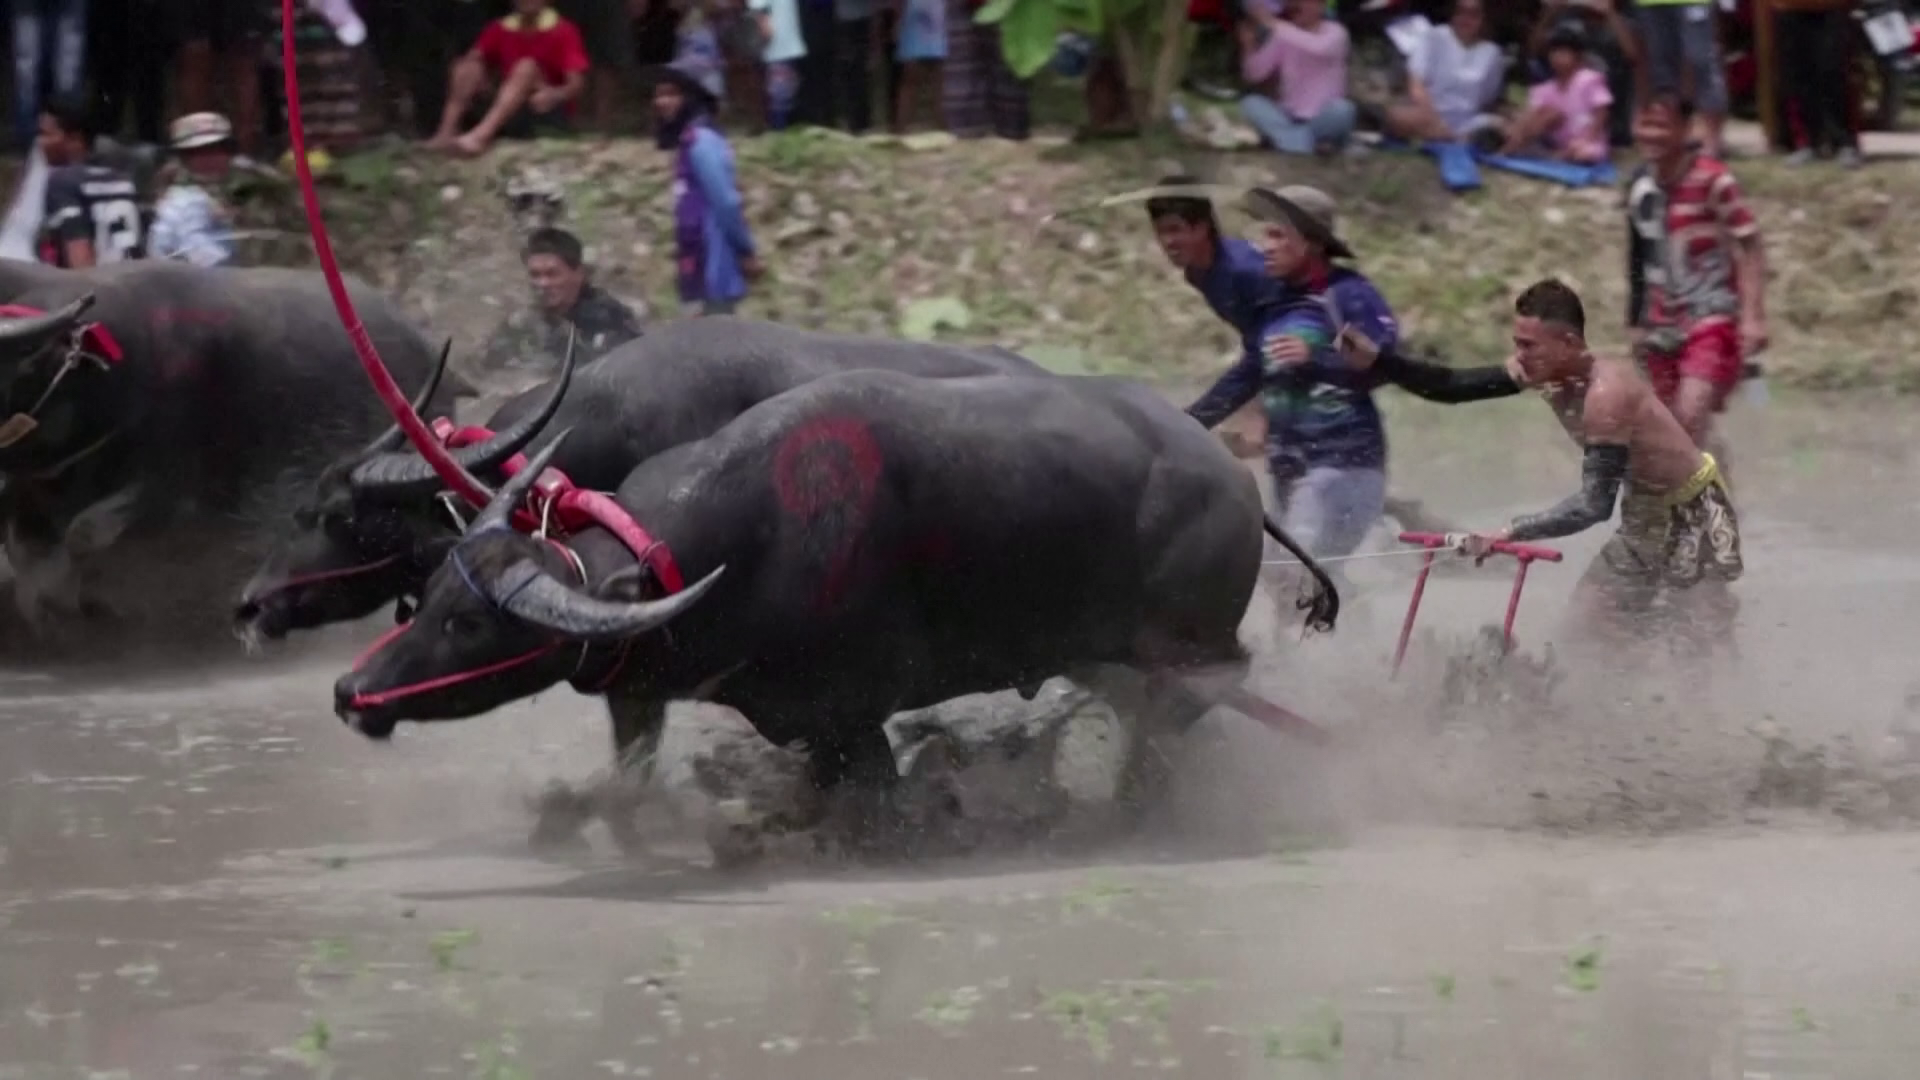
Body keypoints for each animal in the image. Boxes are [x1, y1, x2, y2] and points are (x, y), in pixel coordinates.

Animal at [334, 367, 1336, 849]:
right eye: (430, 597)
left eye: (472, 623)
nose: (350, 692)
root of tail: (1235, 482)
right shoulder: (731, 712)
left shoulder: (852, 716)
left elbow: (863, 804)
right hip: (1114, 653)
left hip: (1186, 649)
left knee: (1191, 705)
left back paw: (1131, 811)